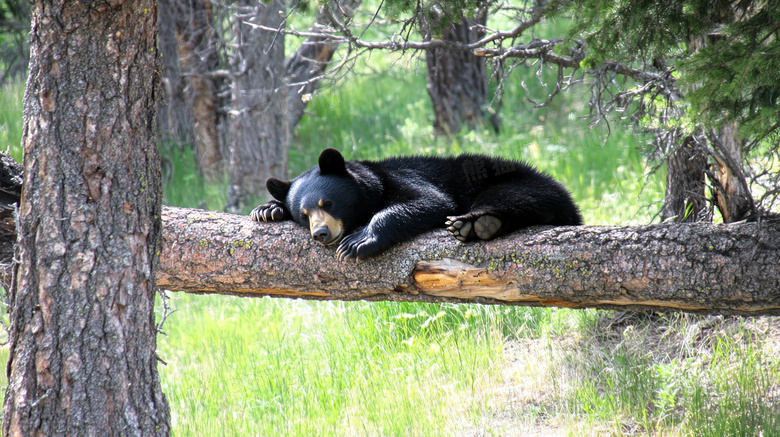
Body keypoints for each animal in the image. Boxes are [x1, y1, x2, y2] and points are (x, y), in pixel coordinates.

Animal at [250, 148, 580, 260]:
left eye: (327, 202)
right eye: (304, 214)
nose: (321, 234)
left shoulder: (405, 177)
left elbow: (431, 201)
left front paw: (359, 241)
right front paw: (267, 209)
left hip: (521, 183)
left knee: (511, 198)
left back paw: (474, 223)